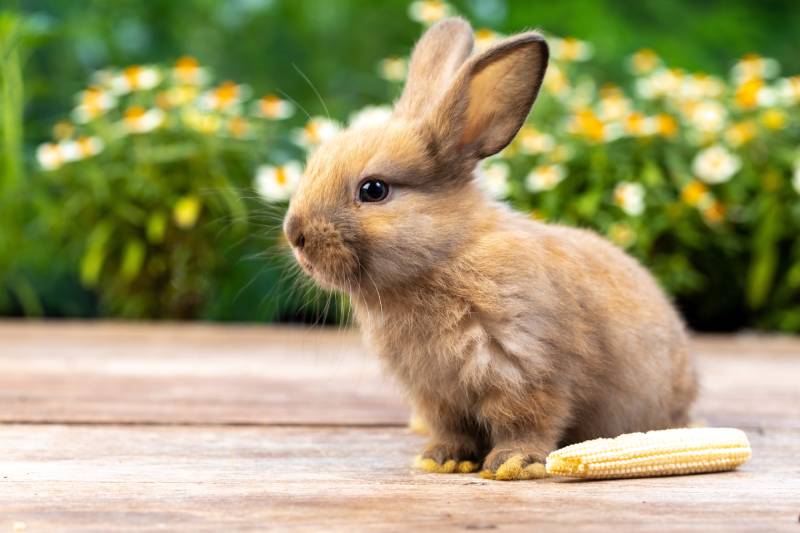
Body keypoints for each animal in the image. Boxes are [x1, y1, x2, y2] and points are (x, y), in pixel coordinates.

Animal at [283, 17, 697, 480]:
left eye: (374, 190)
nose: (294, 234)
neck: (446, 256)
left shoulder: (527, 369)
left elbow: (527, 423)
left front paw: (513, 464)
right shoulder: (435, 393)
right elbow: (452, 429)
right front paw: (441, 459)